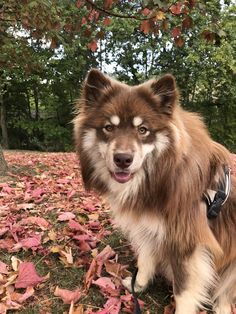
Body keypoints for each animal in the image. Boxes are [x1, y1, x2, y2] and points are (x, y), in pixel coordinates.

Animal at [74, 69, 236, 314]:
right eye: (109, 128)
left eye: (143, 130)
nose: (123, 159)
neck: (162, 176)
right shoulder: (150, 228)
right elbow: (145, 261)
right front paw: (138, 286)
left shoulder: (186, 242)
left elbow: (184, 291)